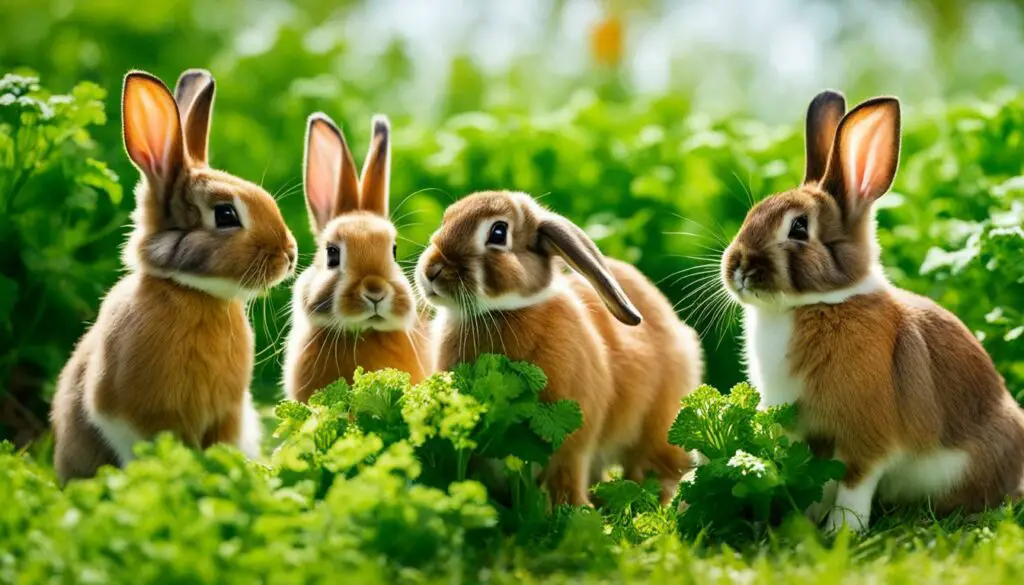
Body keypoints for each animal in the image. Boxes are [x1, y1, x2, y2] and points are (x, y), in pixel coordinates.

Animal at [415, 189, 704, 506]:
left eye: (498, 232)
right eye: (446, 219)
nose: (431, 270)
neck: (501, 310)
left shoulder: (572, 442)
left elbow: (567, 478)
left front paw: (575, 510)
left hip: (659, 424)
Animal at [720, 89, 1024, 532]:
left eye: (798, 228)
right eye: (752, 213)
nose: (737, 266)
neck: (819, 303)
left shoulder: (866, 433)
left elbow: (853, 483)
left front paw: (841, 531)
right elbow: (818, 481)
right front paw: (809, 522)